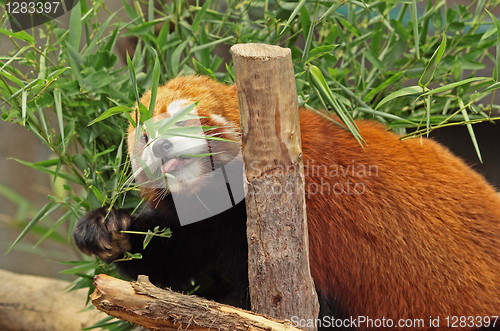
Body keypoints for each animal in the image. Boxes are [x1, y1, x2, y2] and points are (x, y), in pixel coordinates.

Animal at [73, 76, 500, 331]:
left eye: (183, 121)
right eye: (145, 136)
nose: (161, 146)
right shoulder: (213, 225)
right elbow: (176, 251)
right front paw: (106, 229)